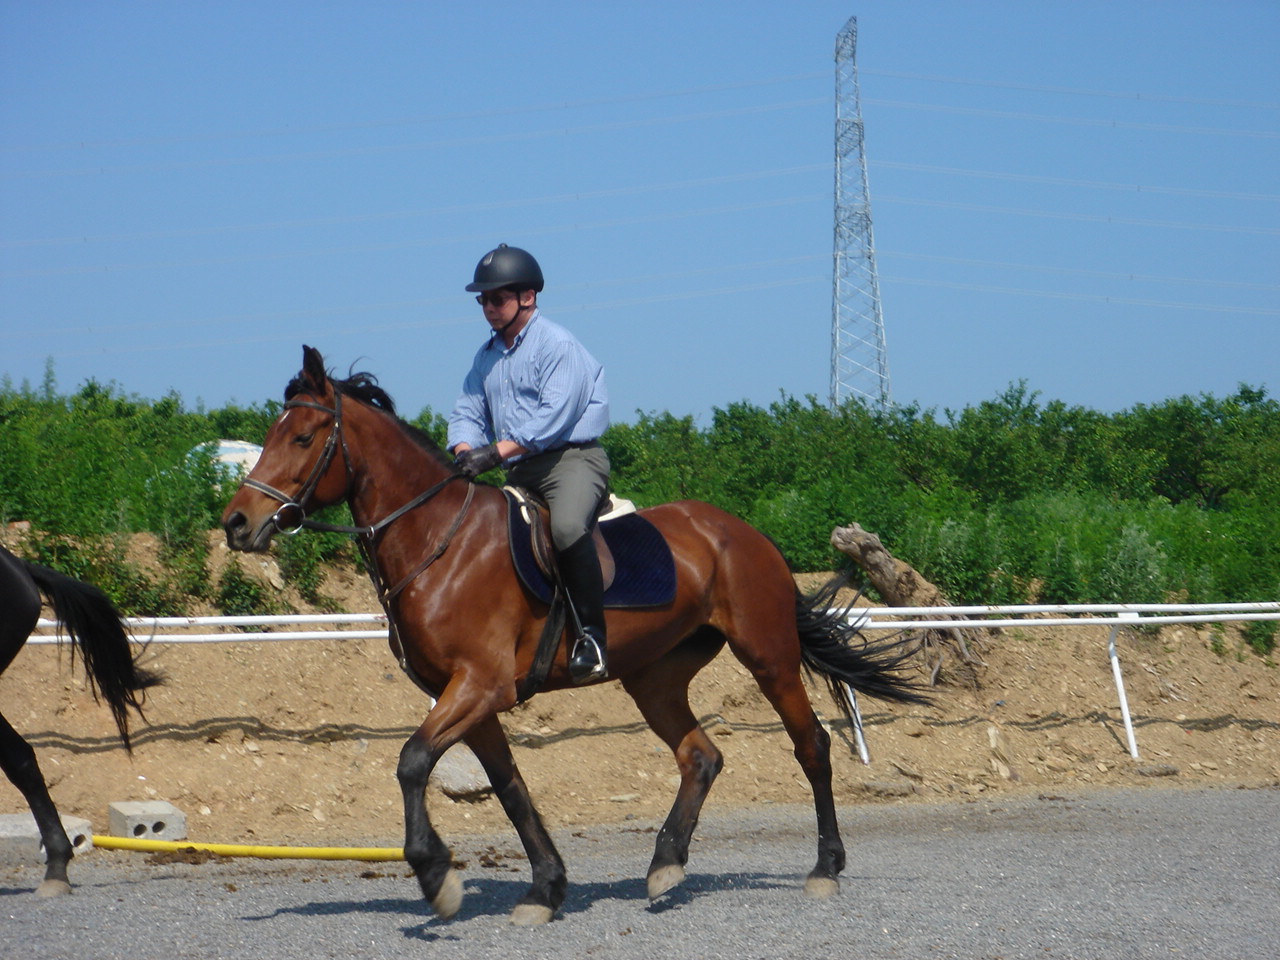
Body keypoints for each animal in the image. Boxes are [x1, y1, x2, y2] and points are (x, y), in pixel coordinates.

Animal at [220, 345, 921, 926]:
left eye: (303, 436)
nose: (237, 524)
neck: (438, 542)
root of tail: (746, 534)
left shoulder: (481, 686)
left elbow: (412, 761)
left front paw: (436, 875)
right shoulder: (469, 699)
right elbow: (510, 789)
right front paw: (545, 889)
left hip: (767, 655)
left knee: (811, 747)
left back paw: (824, 867)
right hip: (654, 678)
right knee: (700, 756)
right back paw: (665, 865)